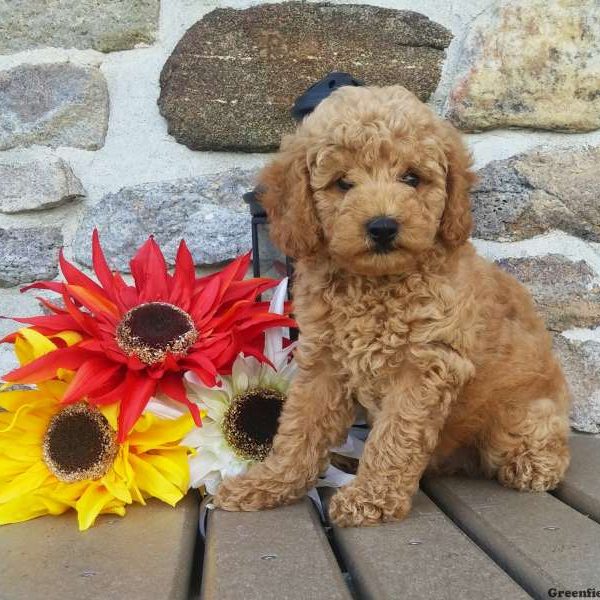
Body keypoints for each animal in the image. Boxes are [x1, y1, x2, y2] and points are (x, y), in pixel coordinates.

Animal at [213, 84, 568, 524]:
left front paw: (371, 498)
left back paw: (533, 465)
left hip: (521, 416)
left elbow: (395, 436)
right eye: (342, 183)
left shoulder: (425, 367)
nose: (383, 226)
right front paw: (269, 483)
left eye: (412, 178)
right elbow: (299, 428)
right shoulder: (324, 362)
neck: (376, 284)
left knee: (547, 443)